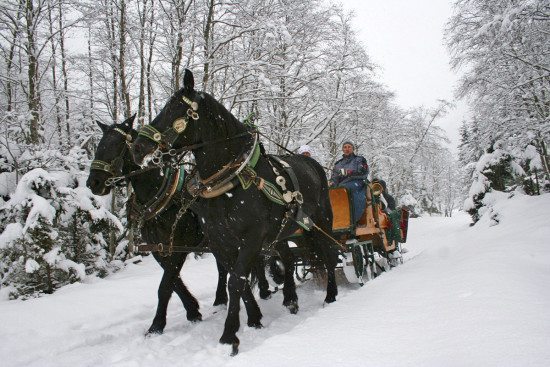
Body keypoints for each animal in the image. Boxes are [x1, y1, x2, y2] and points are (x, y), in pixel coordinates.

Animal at [86, 115, 272, 336]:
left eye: (118, 144)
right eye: (99, 145)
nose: (93, 182)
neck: (161, 195)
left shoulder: (179, 245)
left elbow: (166, 285)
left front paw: (157, 325)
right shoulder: (159, 248)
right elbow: (173, 281)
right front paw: (192, 310)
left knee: (255, 261)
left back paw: (264, 289)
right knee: (224, 268)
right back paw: (221, 299)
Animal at [134, 69, 340, 356]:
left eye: (176, 109)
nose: (138, 147)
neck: (230, 180)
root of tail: (313, 163)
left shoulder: (251, 238)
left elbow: (236, 281)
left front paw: (229, 335)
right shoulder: (221, 242)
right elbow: (236, 281)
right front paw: (254, 319)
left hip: (321, 221)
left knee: (329, 255)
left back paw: (331, 296)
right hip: (281, 233)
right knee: (288, 259)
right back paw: (290, 299)